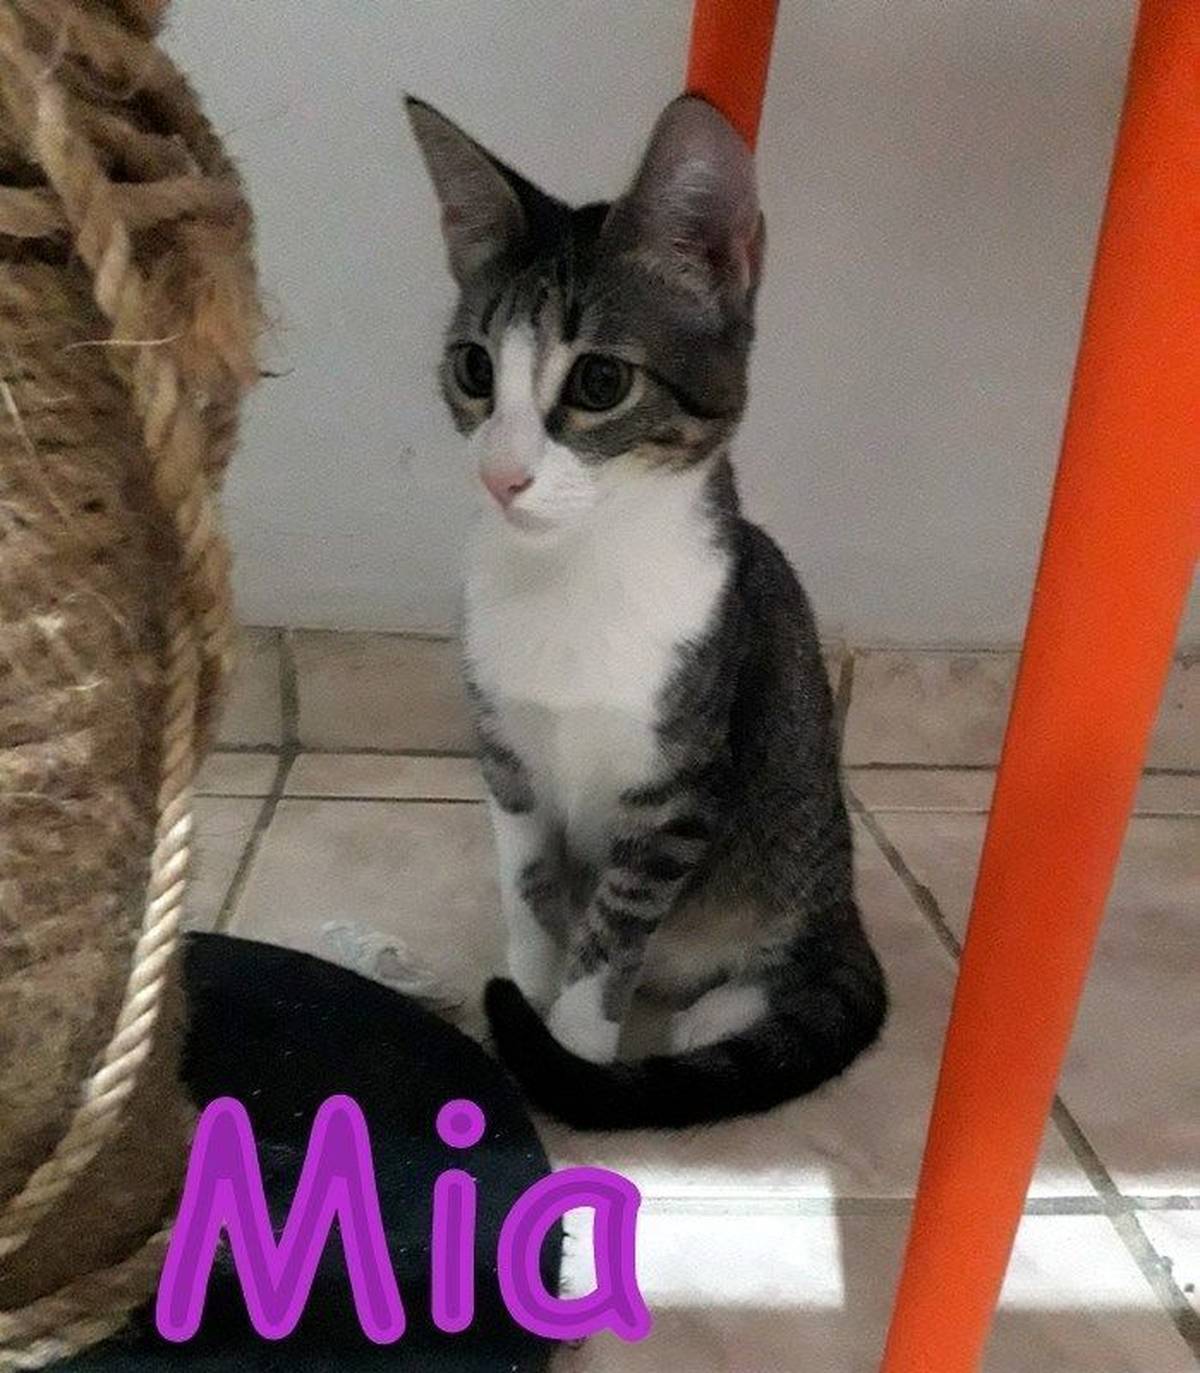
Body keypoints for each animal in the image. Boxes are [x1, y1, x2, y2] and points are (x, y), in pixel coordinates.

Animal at [407, 93, 887, 1130]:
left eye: (598, 382)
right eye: (474, 369)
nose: (501, 474)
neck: (574, 574)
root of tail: (849, 911)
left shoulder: (679, 786)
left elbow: (613, 933)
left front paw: (572, 1054)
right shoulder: (506, 757)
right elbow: (531, 894)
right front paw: (523, 997)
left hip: (788, 849)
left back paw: (721, 1012)